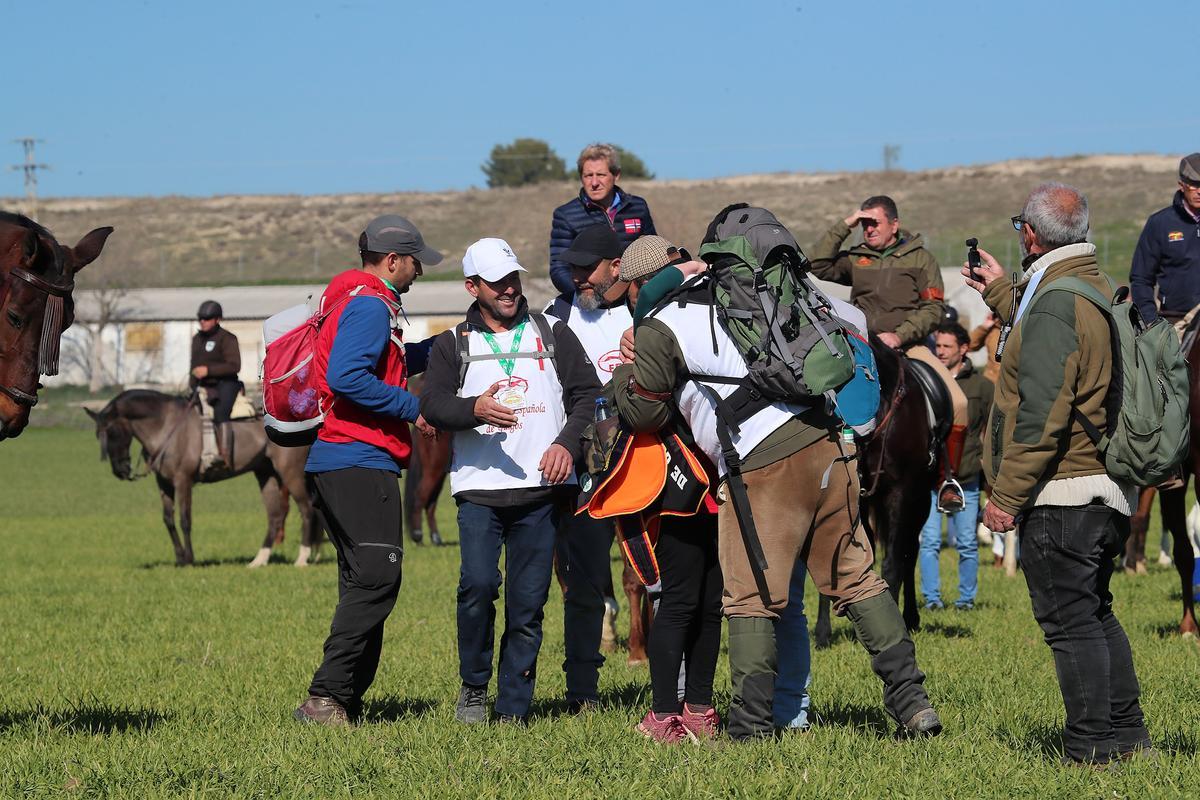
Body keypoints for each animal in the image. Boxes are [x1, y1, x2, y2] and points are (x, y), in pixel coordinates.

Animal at [87, 388, 321, 566]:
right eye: (98, 435)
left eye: (113, 432)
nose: (120, 470)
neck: (166, 425)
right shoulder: (164, 483)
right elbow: (168, 519)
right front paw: (180, 558)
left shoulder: (183, 481)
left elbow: (185, 520)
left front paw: (189, 559)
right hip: (266, 473)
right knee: (275, 516)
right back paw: (259, 561)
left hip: (290, 472)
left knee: (307, 509)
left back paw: (302, 559)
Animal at [811, 338, 940, 652]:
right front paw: (823, 634)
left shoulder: (899, 494)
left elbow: (893, 561)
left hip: (919, 502)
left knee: (909, 553)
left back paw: (910, 618)